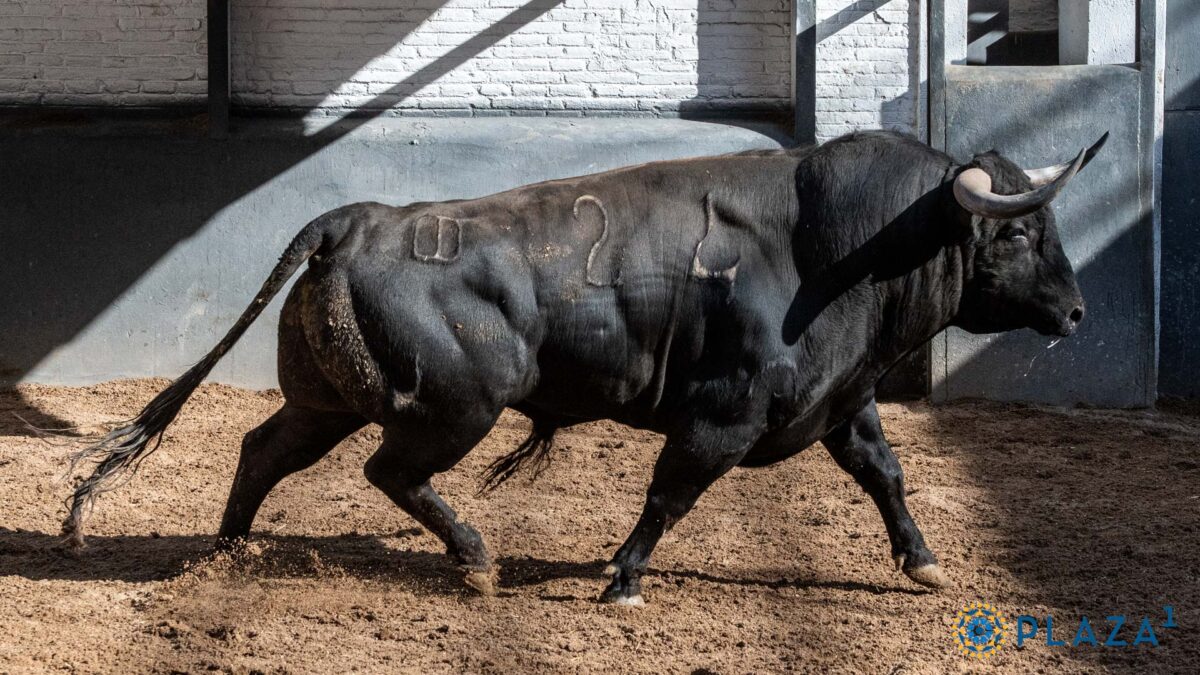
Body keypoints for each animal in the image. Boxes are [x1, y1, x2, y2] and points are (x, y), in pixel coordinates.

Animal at [60, 128, 1099, 600]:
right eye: (1021, 230)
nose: (1078, 311)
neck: (836, 246)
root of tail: (356, 220)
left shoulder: (839, 400)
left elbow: (885, 473)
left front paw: (923, 562)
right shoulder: (724, 412)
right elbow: (671, 491)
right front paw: (623, 576)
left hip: (329, 401)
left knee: (265, 449)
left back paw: (228, 548)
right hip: (453, 407)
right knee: (391, 471)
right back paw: (476, 557)